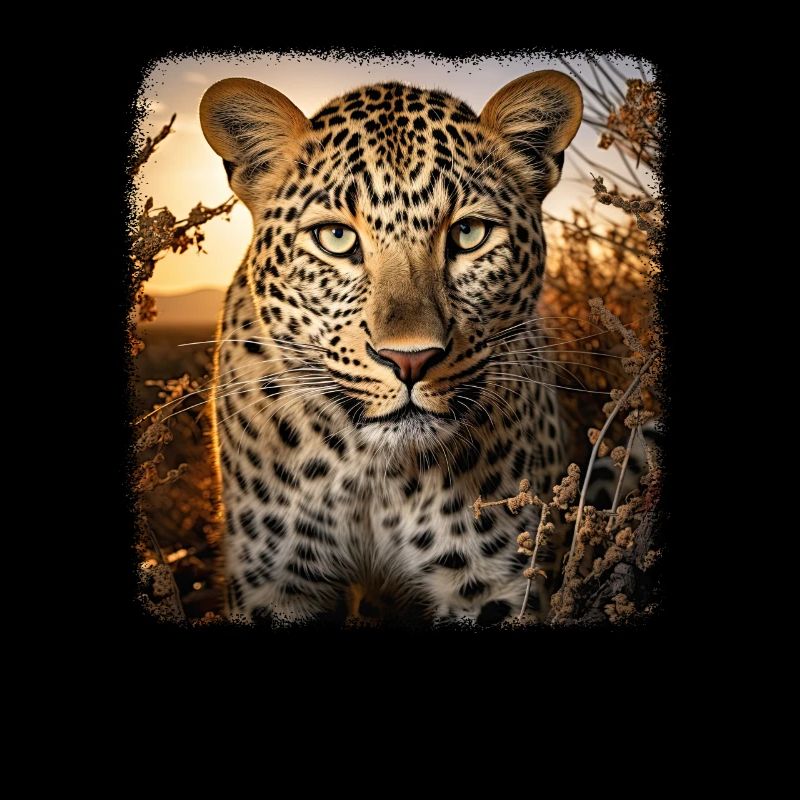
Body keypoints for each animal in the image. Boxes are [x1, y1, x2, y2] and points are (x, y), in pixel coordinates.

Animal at [199, 70, 583, 625]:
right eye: (336, 238)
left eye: (469, 233)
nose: (410, 359)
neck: (377, 477)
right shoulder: (277, 582)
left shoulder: (494, 583)